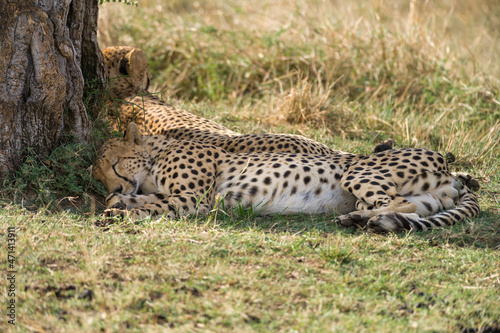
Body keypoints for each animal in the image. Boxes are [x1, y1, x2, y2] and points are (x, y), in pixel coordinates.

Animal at [93, 120, 480, 232]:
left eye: (114, 165)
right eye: (100, 176)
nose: (113, 184)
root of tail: (449, 172)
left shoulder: (193, 199)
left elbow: (154, 206)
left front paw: (117, 212)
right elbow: (143, 199)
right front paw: (115, 202)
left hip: (359, 172)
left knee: (400, 205)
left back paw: (363, 219)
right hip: (422, 198)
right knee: (403, 208)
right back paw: (356, 218)